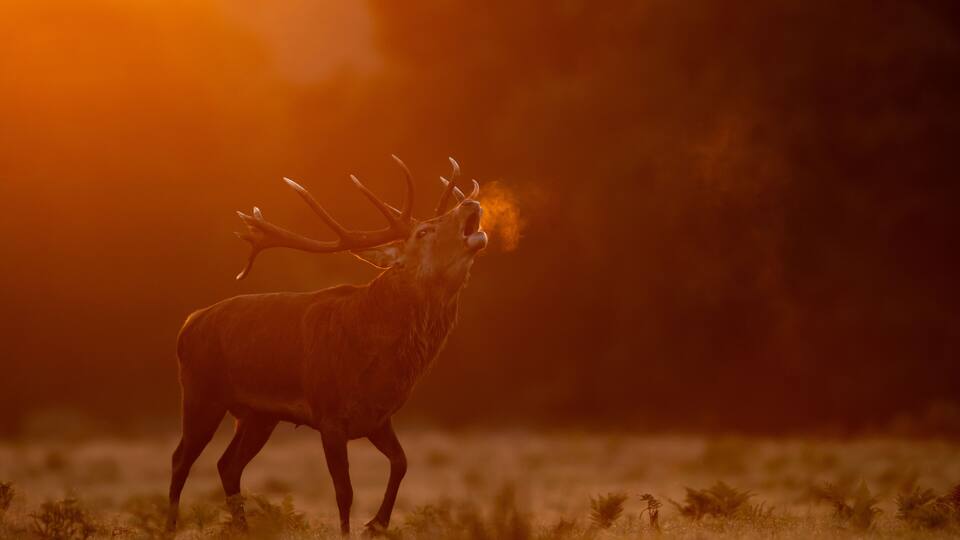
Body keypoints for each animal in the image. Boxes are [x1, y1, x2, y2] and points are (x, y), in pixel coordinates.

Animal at [166, 156, 487, 536]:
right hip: (201, 394)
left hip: (258, 416)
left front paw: (376, 524)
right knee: (181, 458)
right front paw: (352, 530)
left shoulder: (378, 417)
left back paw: (244, 529)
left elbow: (402, 462)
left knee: (227, 464)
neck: (377, 360)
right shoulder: (329, 414)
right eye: (423, 232)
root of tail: (188, 325)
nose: (469, 204)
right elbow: (344, 491)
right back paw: (168, 528)